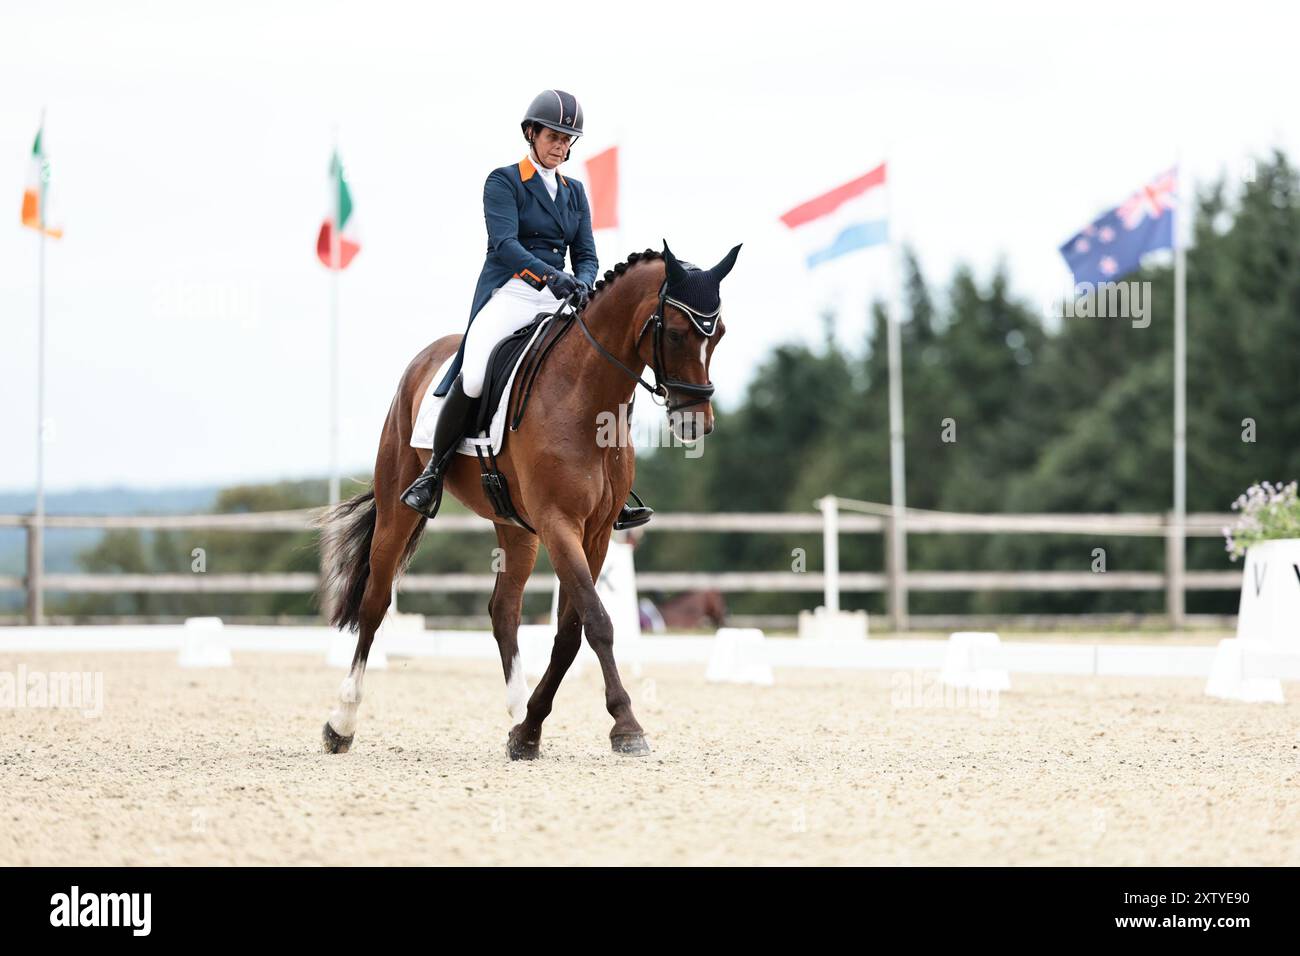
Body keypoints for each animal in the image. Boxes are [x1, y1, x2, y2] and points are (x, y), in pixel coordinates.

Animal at [315, 240, 743, 764]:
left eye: (718, 334)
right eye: (678, 333)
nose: (695, 424)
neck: (587, 396)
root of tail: (428, 356)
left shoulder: (596, 534)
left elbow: (570, 632)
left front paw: (530, 729)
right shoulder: (559, 523)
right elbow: (598, 622)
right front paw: (626, 725)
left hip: (515, 527)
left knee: (504, 610)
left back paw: (517, 710)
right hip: (399, 506)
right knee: (375, 603)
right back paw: (341, 722)